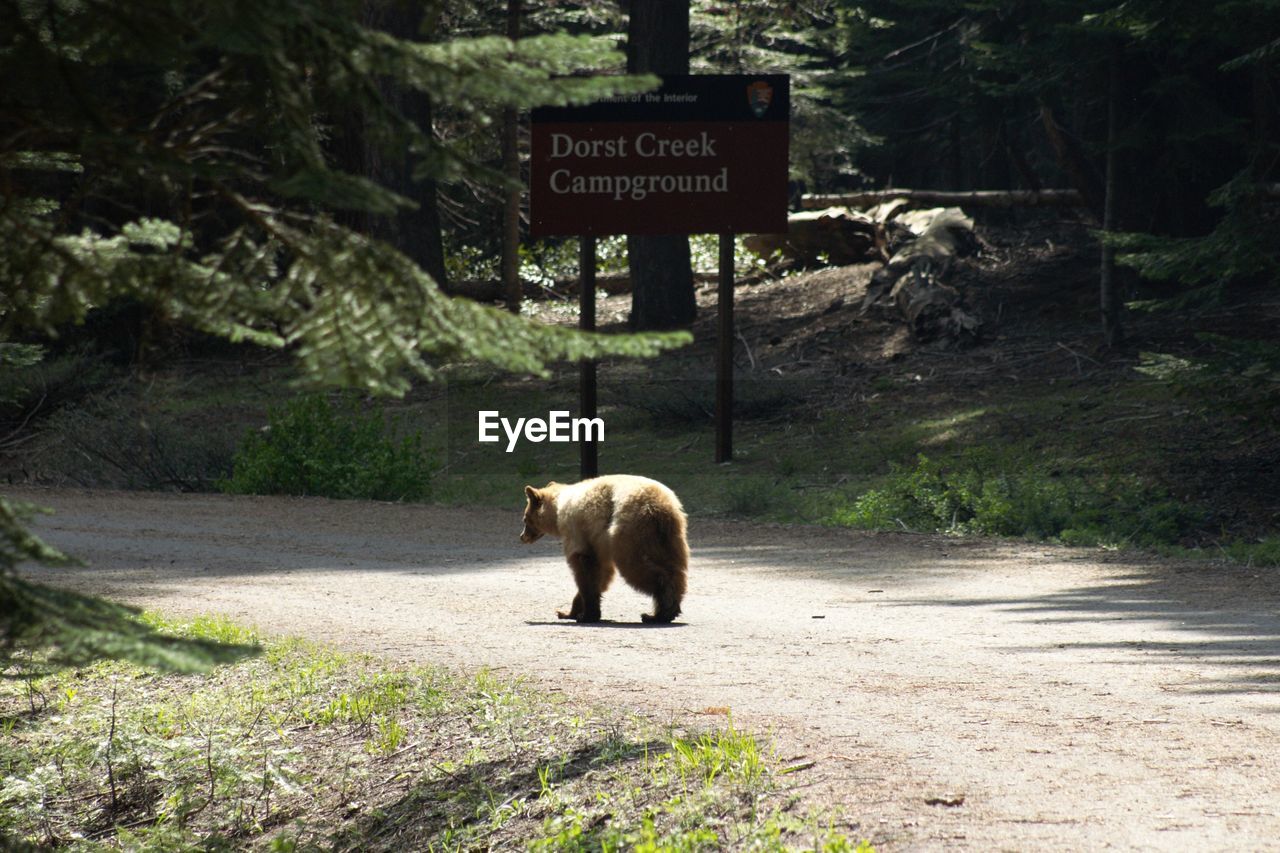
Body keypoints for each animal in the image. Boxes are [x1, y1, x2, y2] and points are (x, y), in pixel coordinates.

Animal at [519, 473, 691, 622]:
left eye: (525, 519)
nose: (522, 537)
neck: (558, 509)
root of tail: (659, 507)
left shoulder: (576, 529)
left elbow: (584, 567)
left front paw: (585, 615)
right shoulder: (597, 542)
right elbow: (601, 573)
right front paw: (569, 612)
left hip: (629, 531)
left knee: (637, 567)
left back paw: (658, 613)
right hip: (670, 537)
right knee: (674, 569)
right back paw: (667, 610)